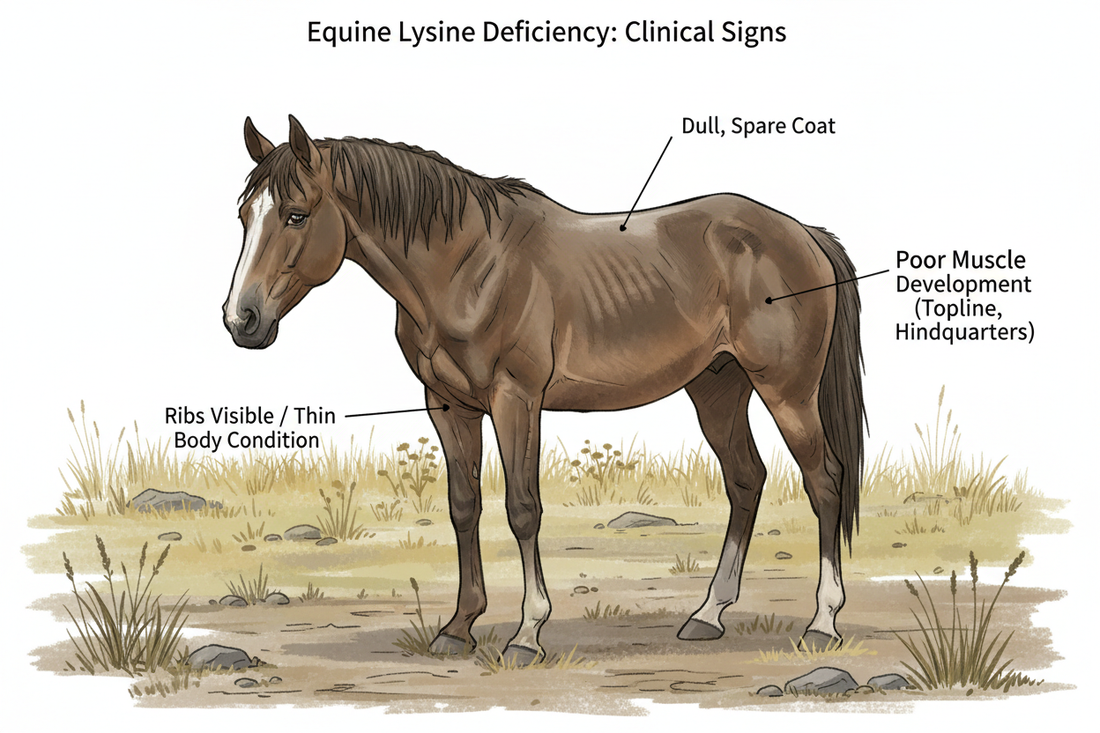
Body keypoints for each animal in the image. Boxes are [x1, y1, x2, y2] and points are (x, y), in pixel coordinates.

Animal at [224, 115, 865, 664]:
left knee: (823, 481)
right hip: (718, 388)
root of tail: (803, 235)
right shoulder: (448, 406)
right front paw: (458, 628)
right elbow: (463, 507)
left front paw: (527, 634)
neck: (468, 266)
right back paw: (707, 615)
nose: (241, 320)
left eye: (297, 215)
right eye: (244, 214)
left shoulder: (517, 399)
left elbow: (522, 508)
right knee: (746, 480)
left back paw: (822, 623)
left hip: (786, 391)